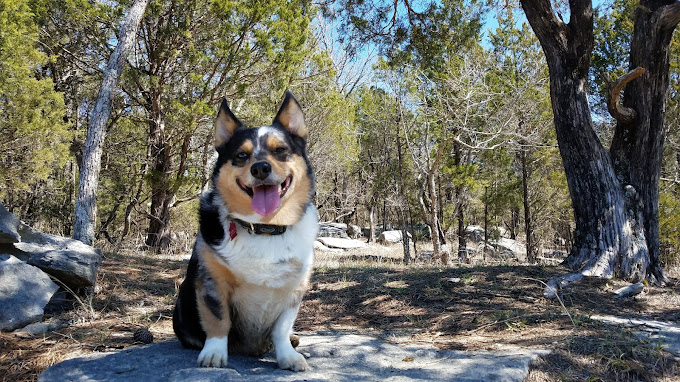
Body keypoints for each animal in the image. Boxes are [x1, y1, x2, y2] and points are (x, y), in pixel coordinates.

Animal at [173, 91, 316, 372]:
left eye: (280, 150)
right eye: (241, 155)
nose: (260, 168)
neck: (264, 227)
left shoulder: (294, 288)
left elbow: (282, 328)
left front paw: (288, 355)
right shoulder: (213, 282)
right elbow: (218, 320)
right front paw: (214, 355)